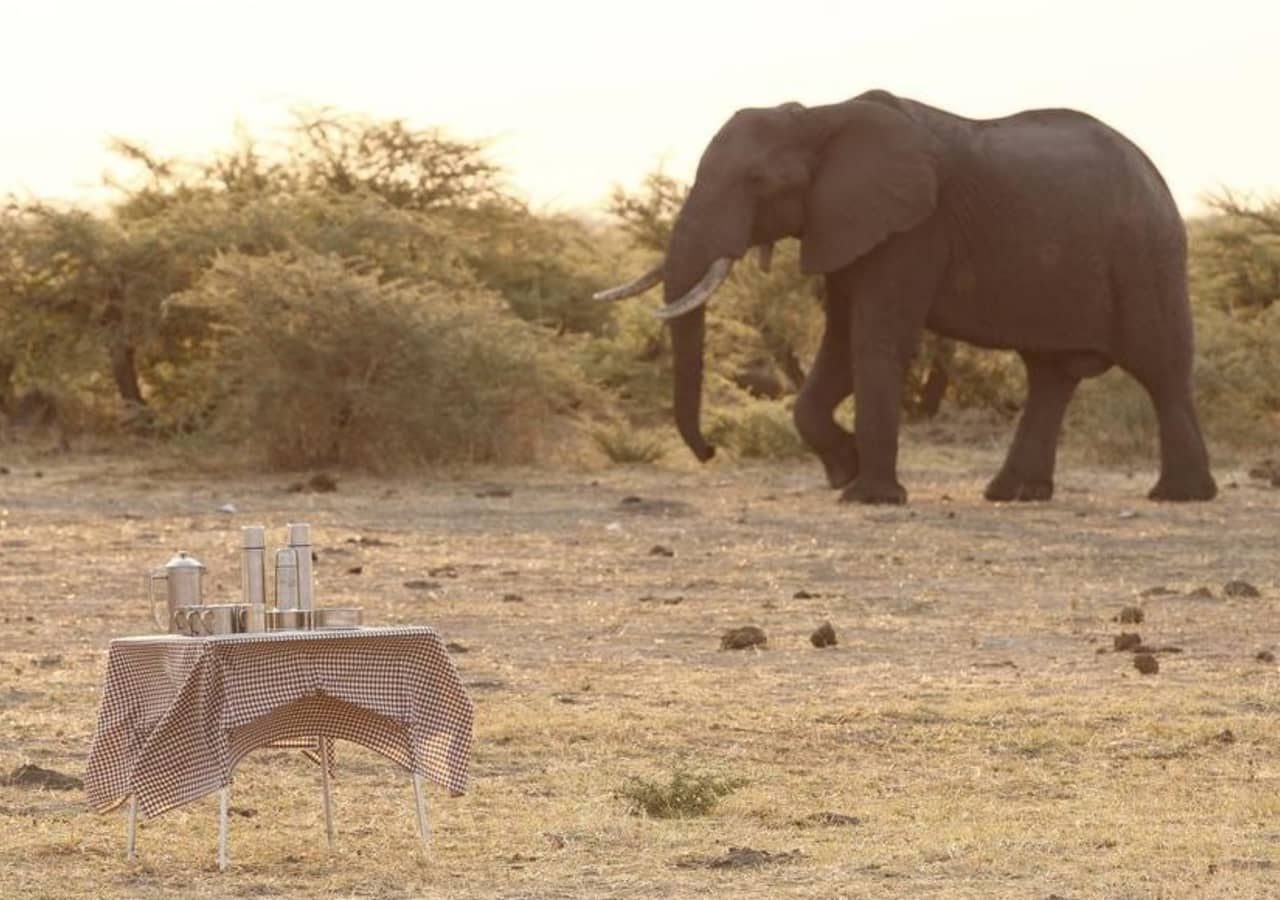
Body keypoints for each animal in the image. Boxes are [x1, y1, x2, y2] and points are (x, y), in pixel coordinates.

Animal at [599, 91, 1218, 506]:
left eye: (758, 183)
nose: (707, 454)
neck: (820, 117)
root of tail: (1156, 172)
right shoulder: (846, 228)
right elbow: (840, 347)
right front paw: (845, 471)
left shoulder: (912, 230)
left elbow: (877, 342)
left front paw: (867, 496)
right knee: (1050, 373)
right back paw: (1013, 493)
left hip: (1146, 253)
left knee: (1160, 367)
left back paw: (1179, 495)